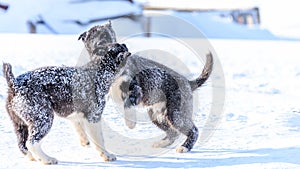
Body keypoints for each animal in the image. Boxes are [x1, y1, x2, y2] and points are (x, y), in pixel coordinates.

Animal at [2, 41, 131, 164]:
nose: (125, 44)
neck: (99, 71)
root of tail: (14, 85)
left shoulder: (76, 116)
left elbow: (81, 130)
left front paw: (85, 142)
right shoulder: (94, 117)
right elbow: (99, 140)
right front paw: (107, 156)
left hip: (20, 124)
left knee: (23, 145)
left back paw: (34, 158)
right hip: (44, 118)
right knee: (32, 143)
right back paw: (47, 160)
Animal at [78, 22, 213, 153]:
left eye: (110, 36)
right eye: (98, 38)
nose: (118, 46)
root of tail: (189, 83)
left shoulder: (135, 88)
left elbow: (128, 104)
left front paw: (130, 123)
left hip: (175, 113)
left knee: (193, 130)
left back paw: (184, 147)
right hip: (156, 115)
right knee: (173, 132)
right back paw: (161, 143)